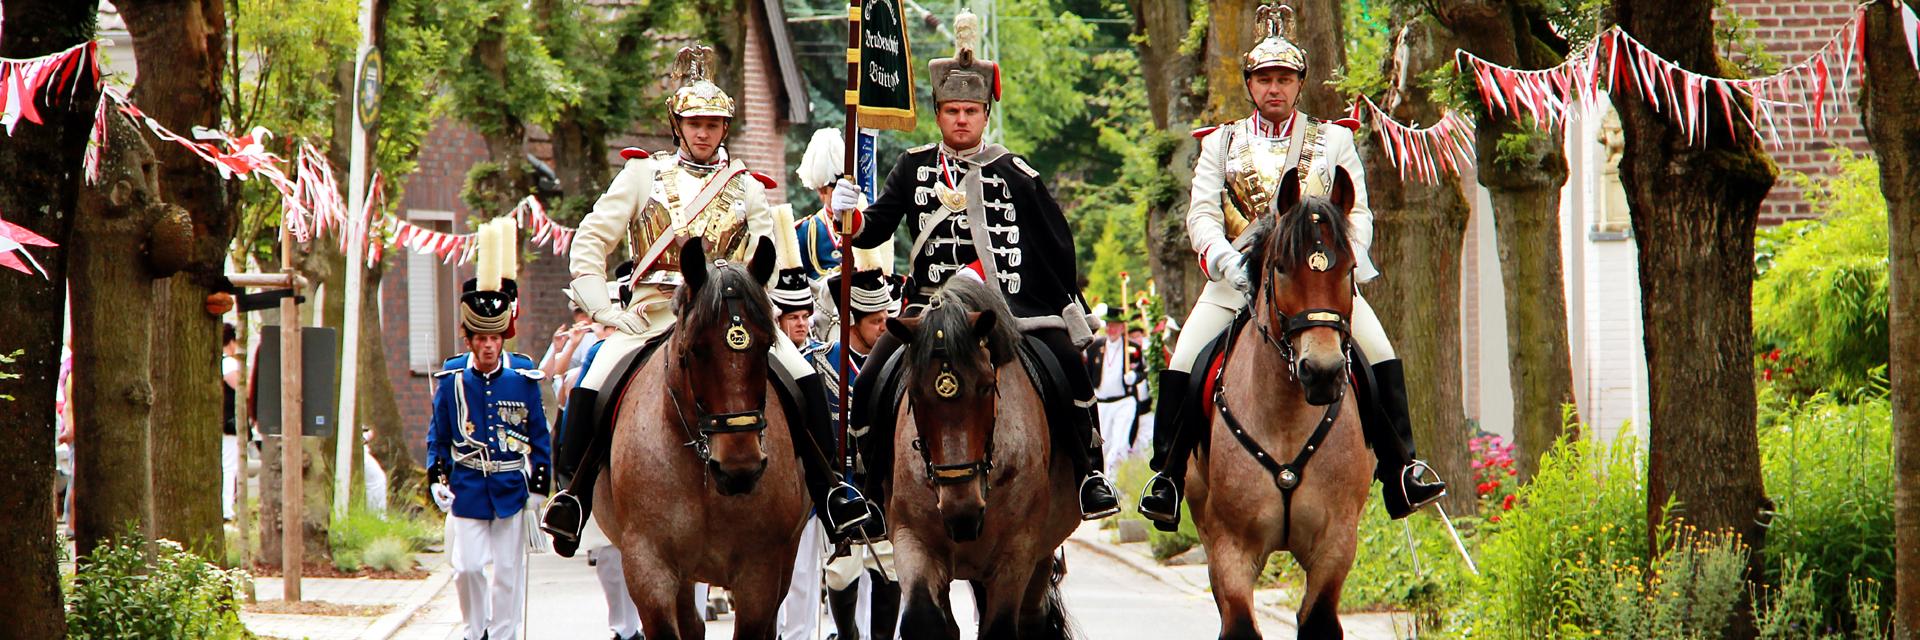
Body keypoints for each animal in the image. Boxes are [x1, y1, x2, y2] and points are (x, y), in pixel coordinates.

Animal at [879, 278, 1082, 638]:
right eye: (914, 392)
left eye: (987, 386)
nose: (962, 512)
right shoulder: (912, 539)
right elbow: (923, 618)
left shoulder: (1017, 552)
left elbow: (1000, 627)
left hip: (1040, 556)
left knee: (1033, 616)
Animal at [1190, 167, 1374, 634]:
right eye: (1281, 267)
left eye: (1350, 268)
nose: (1322, 372)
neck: (1287, 417)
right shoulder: (1230, 548)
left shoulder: (1335, 545)